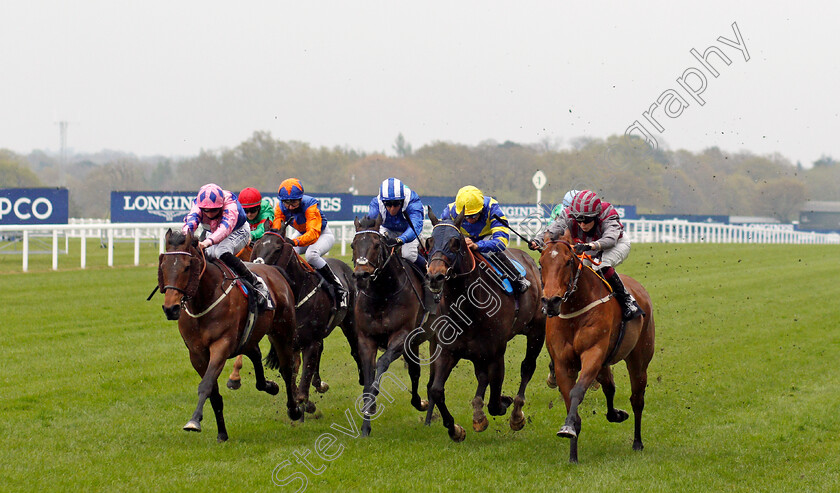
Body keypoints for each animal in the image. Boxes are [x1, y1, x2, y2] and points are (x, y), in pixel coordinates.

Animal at [158, 229, 302, 440]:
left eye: (186, 267)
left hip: (282, 332)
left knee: (286, 369)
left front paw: (194, 421)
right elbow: (213, 393)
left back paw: (294, 409)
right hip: (249, 336)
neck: (205, 299)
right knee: (256, 355)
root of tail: (274, 270)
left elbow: (206, 385)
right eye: (163, 266)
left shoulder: (222, 344)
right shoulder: (197, 354)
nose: (171, 309)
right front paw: (222, 433)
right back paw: (268, 386)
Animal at [240, 229, 364, 414]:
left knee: (355, 349)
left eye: (277, 248)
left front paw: (304, 401)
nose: (255, 269)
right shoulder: (289, 341)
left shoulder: (310, 340)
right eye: (257, 245)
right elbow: (293, 369)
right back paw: (319, 384)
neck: (296, 293)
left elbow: (305, 369)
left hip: (350, 322)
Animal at [350, 215, 430, 434]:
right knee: (415, 371)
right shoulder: (366, 339)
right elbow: (368, 377)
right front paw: (365, 426)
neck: (383, 294)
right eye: (353, 245)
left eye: (377, 245)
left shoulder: (402, 336)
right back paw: (420, 403)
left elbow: (382, 362)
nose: (361, 276)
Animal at [424, 208, 548, 442]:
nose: (435, 276)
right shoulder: (447, 349)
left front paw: (506, 404)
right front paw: (455, 429)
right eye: (429, 241)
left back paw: (516, 413)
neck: (467, 306)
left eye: (455, 242)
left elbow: (495, 398)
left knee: (527, 367)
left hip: (537, 331)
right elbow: (436, 390)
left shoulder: (496, 353)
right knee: (481, 377)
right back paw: (478, 413)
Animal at [540, 229, 656, 464]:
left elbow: (577, 391)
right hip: (605, 364)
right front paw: (572, 454)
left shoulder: (593, 354)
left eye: (568, 261)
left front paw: (567, 428)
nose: (551, 301)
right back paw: (615, 414)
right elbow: (570, 398)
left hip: (639, 359)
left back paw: (637, 442)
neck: (575, 309)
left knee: (637, 399)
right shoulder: (563, 363)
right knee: (609, 387)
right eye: (540, 263)